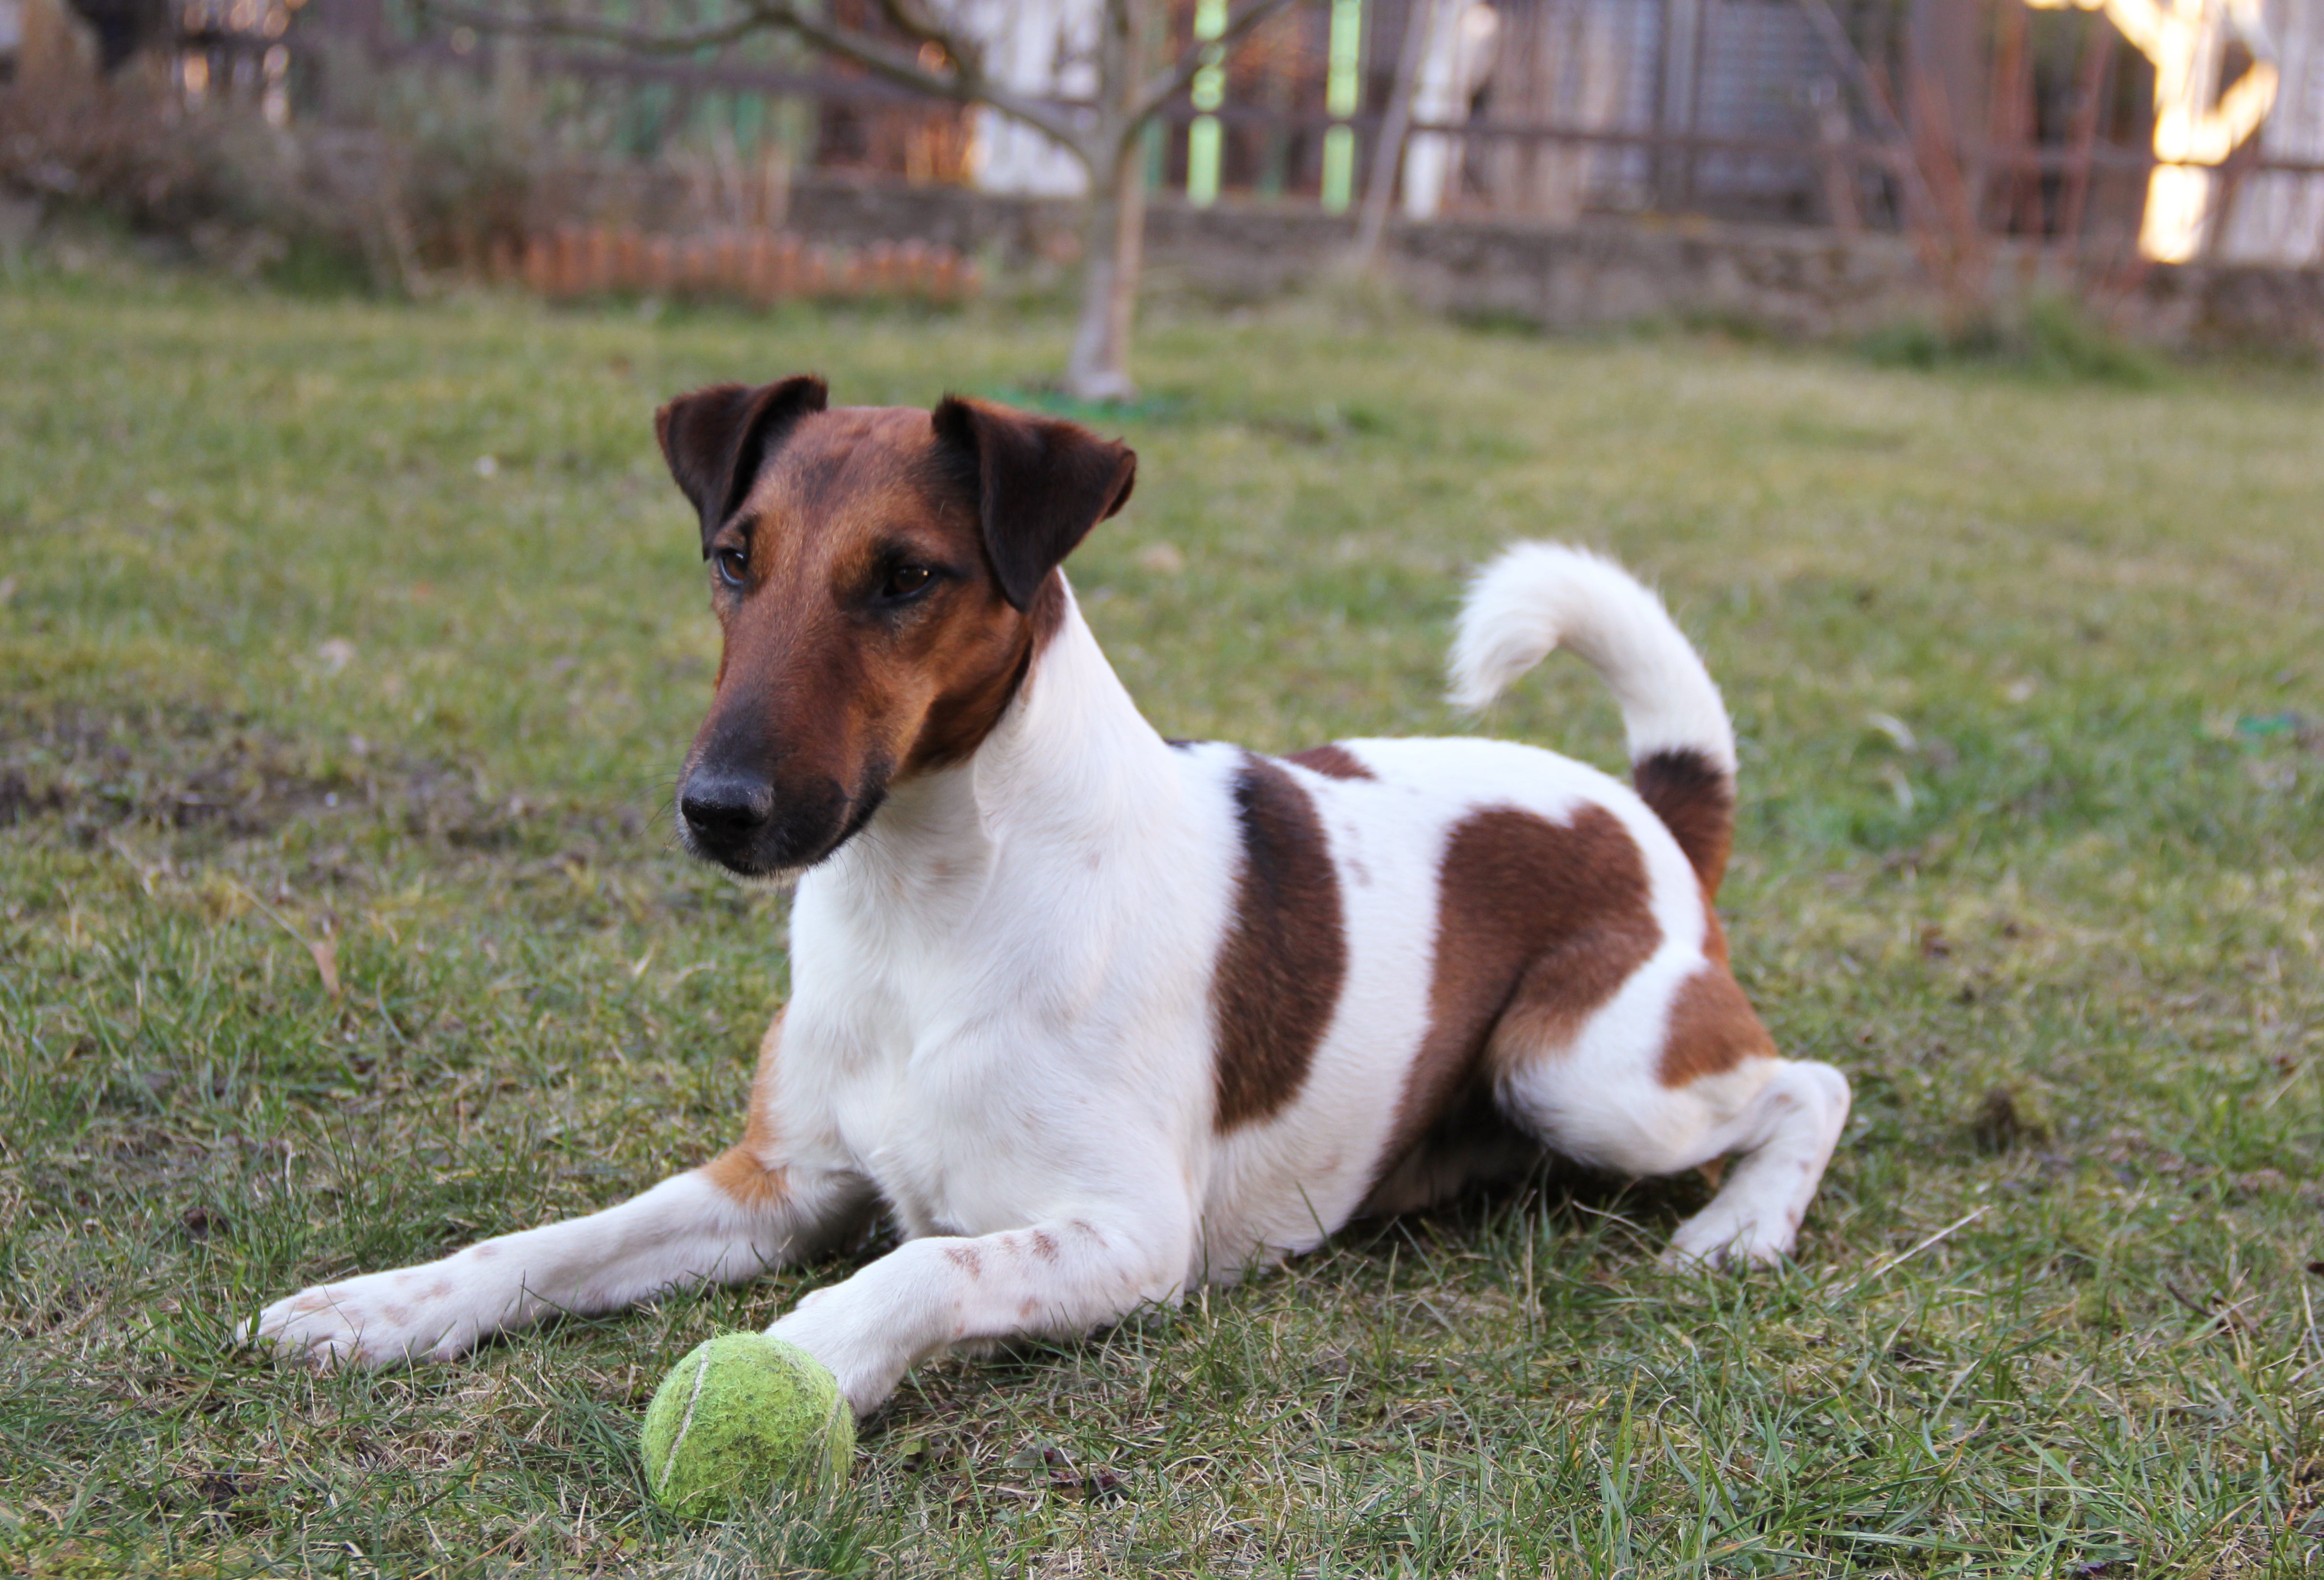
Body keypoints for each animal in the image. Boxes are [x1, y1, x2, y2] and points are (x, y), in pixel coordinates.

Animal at [250, 376, 1850, 1413]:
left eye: (906, 577)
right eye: (731, 559)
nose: (717, 810)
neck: (922, 907)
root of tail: (1649, 809)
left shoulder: (1129, 1235)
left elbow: (917, 1276)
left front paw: (796, 1366)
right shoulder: (773, 1183)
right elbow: (543, 1244)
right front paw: (382, 1305)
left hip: (1581, 1069)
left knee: (1811, 1083)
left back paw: (1742, 1228)